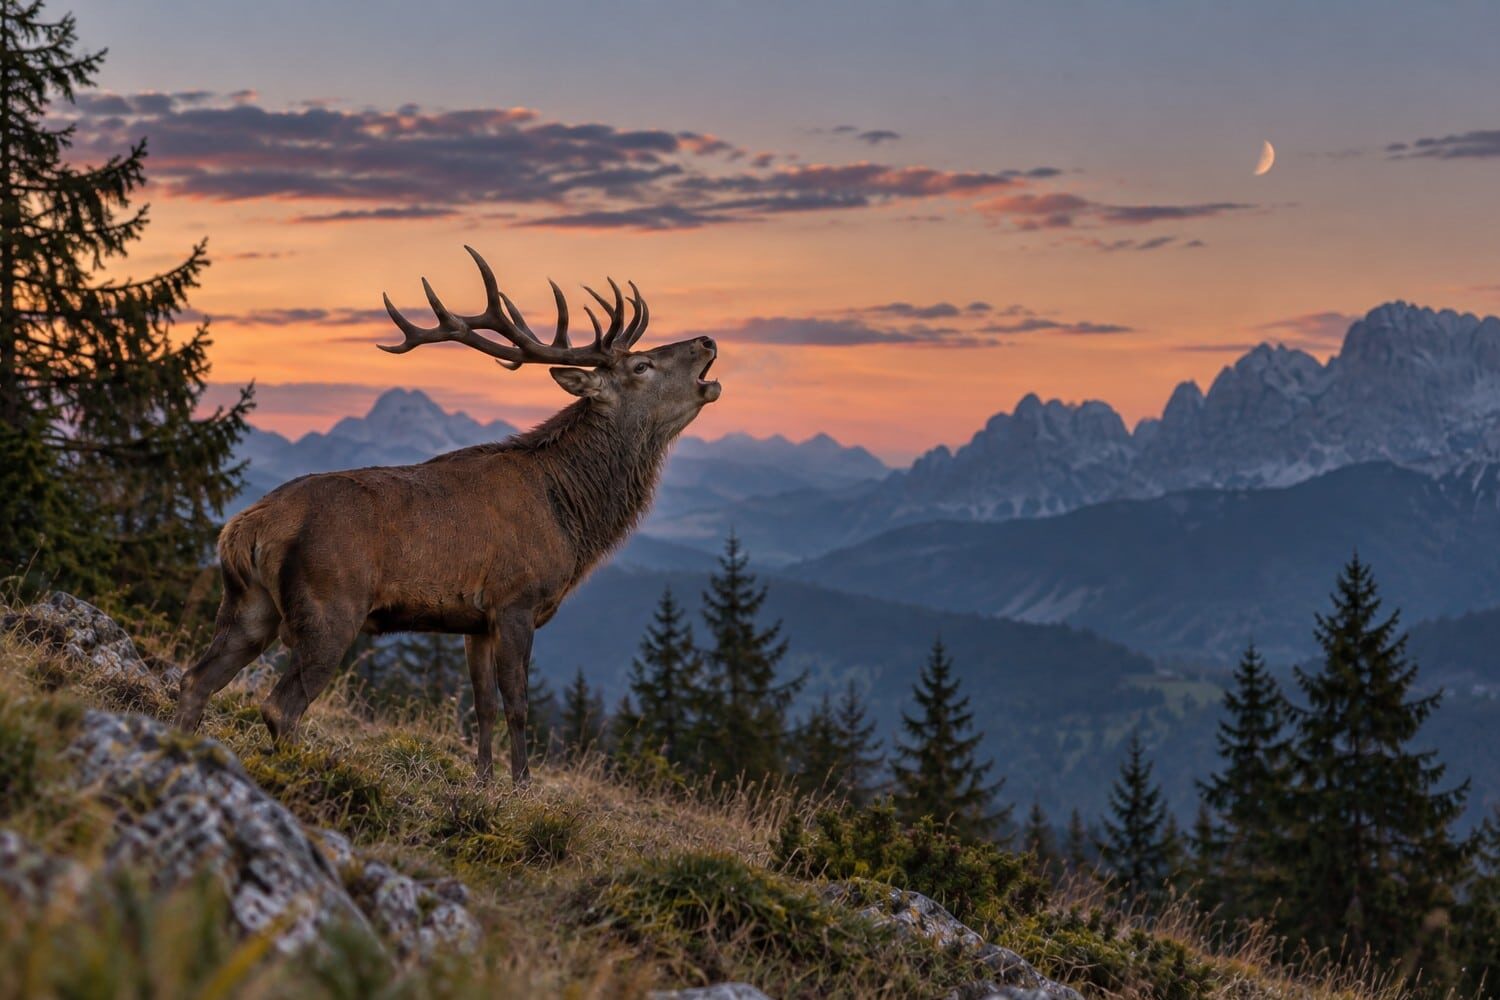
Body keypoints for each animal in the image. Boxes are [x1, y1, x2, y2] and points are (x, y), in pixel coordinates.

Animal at [173, 247, 720, 786]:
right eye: (643, 366)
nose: (707, 339)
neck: (570, 514)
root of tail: (243, 529)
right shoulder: (515, 599)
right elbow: (518, 704)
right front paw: (522, 787)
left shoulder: (474, 621)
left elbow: (482, 706)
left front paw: (483, 783)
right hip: (330, 604)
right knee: (280, 706)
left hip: (248, 604)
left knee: (196, 678)